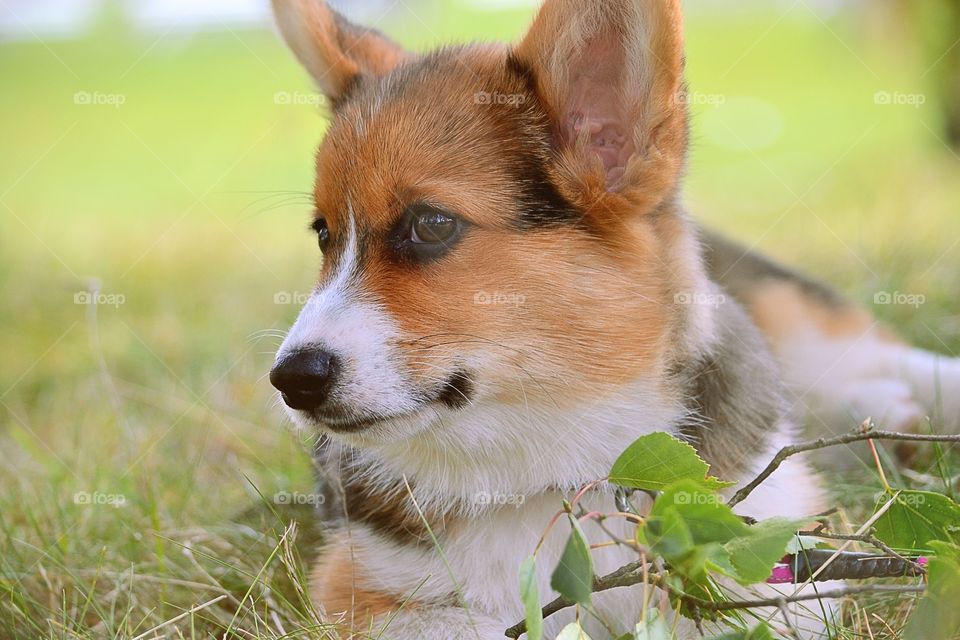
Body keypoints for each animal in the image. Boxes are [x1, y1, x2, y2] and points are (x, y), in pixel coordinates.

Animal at [266, 2, 956, 636]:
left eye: (431, 225)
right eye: (323, 234)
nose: (290, 381)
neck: (553, 459)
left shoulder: (782, 567)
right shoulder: (361, 587)